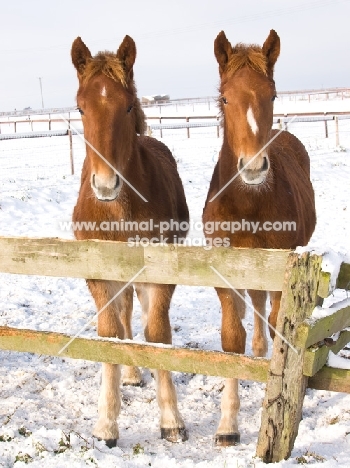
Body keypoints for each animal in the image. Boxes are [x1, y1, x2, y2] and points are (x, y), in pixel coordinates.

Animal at [70, 35, 189, 446]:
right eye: (81, 107)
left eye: (128, 106)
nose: (106, 184)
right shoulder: (98, 275)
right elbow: (109, 334)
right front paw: (107, 423)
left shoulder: (161, 272)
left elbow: (158, 332)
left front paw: (171, 420)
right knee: (122, 318)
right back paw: (131, 374)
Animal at [201, 29, 316, 446]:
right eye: (224, 97)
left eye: (273, 95)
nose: (253, 168)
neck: (246, 204)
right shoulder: (225, 272)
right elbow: (231, 339)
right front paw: (227, 425)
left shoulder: (283, 270)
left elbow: (280, 326)